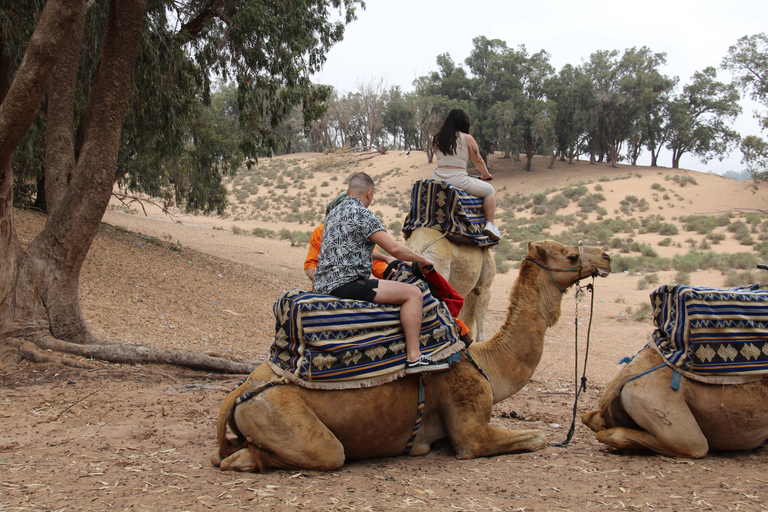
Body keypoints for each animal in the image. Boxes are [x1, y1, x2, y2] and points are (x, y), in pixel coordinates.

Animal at [212, 240, 612, 472]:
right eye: (572, 254)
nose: (607, 257)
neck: (485, 362)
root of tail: (240, 392)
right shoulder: (470, 429)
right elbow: (537, 438)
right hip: (282, 417)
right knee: (318, 453)